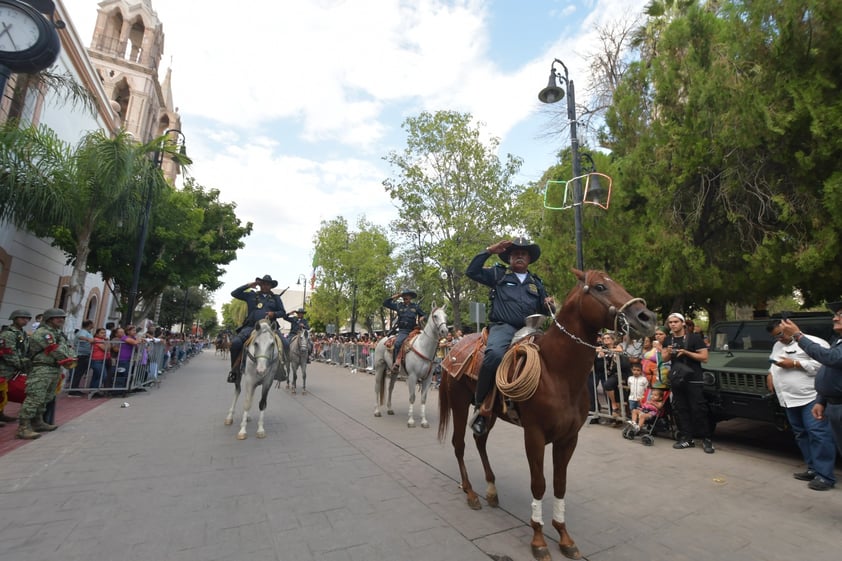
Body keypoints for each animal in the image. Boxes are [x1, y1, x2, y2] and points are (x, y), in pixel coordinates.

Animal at [436, 270, 660, 556]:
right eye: (600, 287)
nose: (647, 318)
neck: (557, 371)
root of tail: (453, 348)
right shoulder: (534, 436)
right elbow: (539, 483)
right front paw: (539, 539)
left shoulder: (569, 438)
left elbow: (560, 483)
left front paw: (564, 536)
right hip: (459, 402)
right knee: (459, 444)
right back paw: (470, 492)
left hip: (489, 412)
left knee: (480, 439)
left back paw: (491, 489)